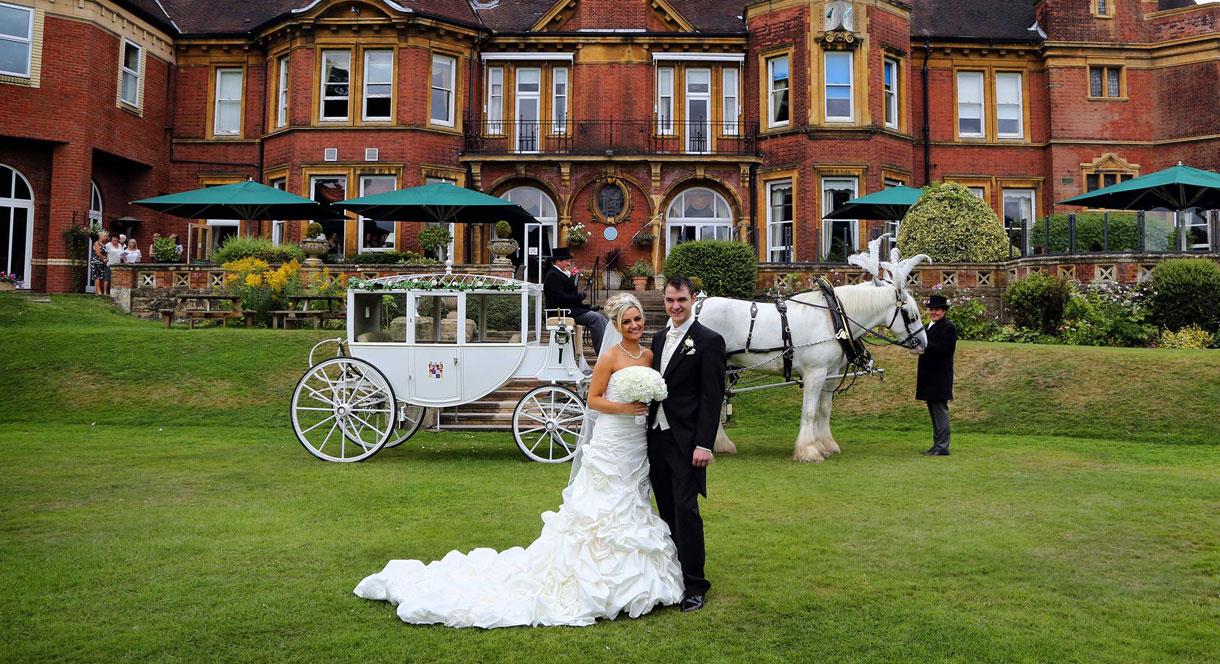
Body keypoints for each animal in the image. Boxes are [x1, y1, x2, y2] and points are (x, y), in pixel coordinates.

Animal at [697, 253, 922, 461]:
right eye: (911, 315)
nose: (922, 344)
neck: (834, 317)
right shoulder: (815, 373)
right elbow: (810, 411)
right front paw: (808, 450)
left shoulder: (830, 374)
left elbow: (824, 409)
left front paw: (825, 444)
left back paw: (721, 444)